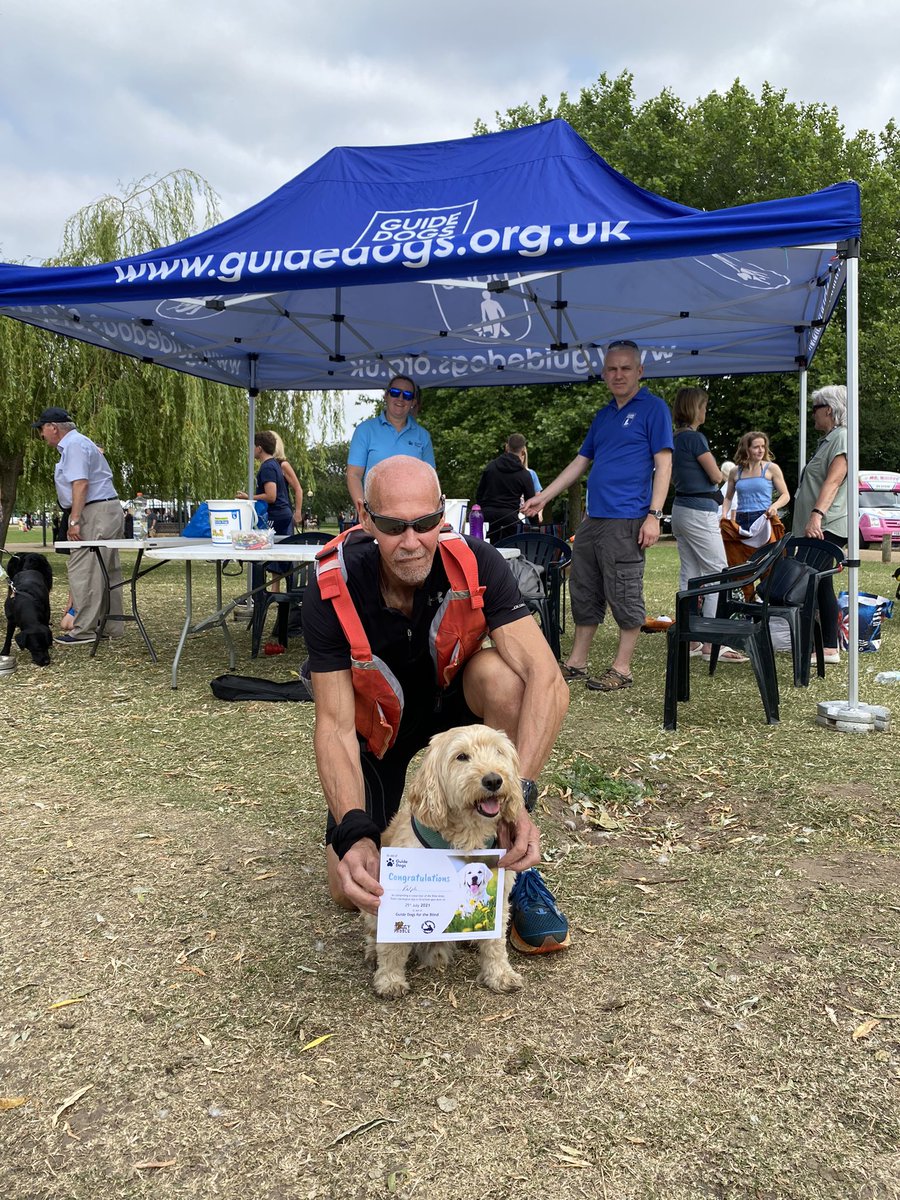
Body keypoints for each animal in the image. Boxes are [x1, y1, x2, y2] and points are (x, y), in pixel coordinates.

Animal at [362, 724, 525, 998]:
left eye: (498, 752)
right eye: (461, 756)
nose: (493, 780)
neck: (468, 837)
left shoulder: (502, 895)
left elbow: (495, 942)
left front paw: (500, 974)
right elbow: (393, 947)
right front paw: (390, 979)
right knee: (374, 931)